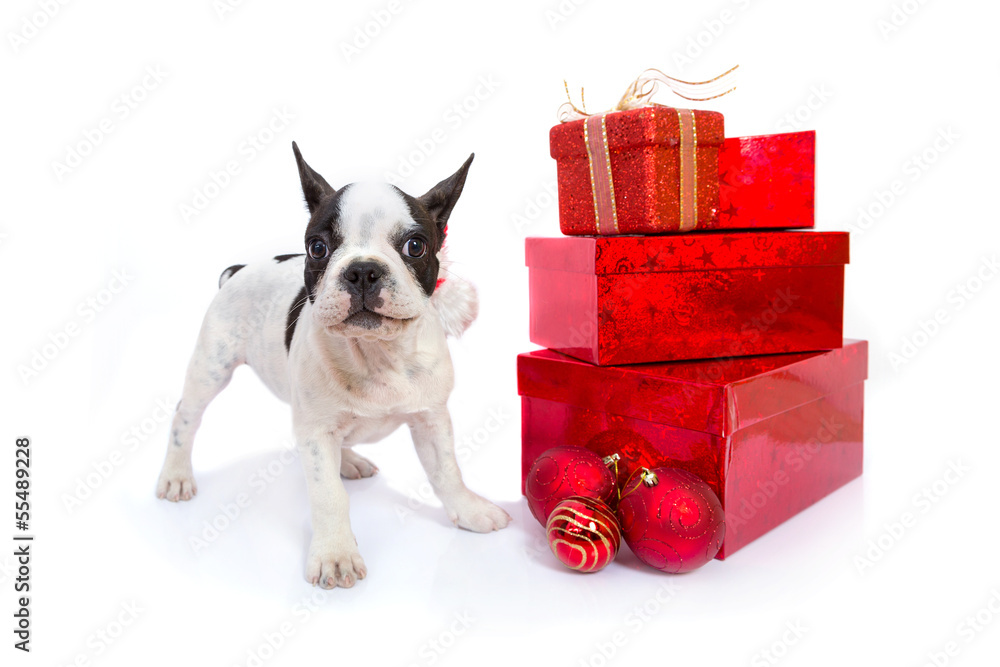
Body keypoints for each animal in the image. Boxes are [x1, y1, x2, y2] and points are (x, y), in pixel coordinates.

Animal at [161, 142, 516, 588]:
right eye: (317, 247)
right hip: (212, 367)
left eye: (415, 246)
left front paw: (470, 511)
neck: (377, 354)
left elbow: (446, 470)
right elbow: (328, 495)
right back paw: (176, 475)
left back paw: (349, 460)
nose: (363, 270)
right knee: (186, 418)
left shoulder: (431, 418)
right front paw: (336, 555)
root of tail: (238, 271)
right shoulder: (315, 434)